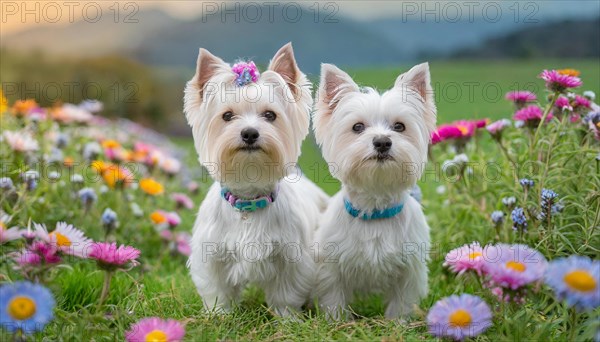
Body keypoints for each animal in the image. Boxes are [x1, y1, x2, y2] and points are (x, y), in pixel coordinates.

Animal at [186, 43, 330, 318]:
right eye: (227, 116)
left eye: (270, 115)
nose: (250, 133)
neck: (249, 201)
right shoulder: (213, 255)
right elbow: (218, 290)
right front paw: (219, 315)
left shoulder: (290, 258)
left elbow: (286, 294)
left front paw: (287, 319)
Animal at [312, 62, 434, 320]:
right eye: (357, 127)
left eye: (399, 126)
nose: (382, 142)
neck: (374, 210)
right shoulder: (331, 267)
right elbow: (334, 300)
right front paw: (337, 322)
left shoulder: (409, 270)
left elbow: (400, 303)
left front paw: (397, 323)